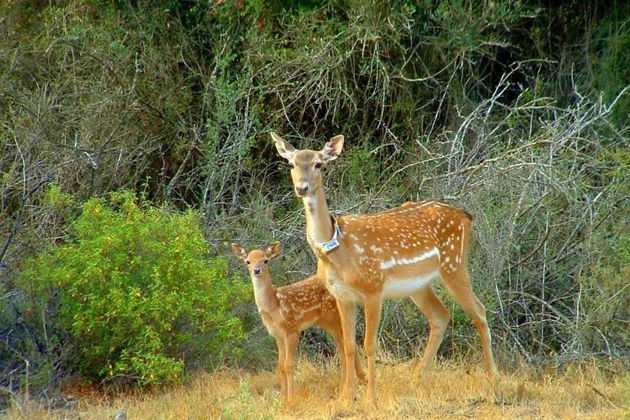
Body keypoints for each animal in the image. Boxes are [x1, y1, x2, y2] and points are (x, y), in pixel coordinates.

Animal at [232, 243, 366, 404]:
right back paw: (352, 386)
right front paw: (282, 399)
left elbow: (289, 364)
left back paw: (348, 390)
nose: (256, 271)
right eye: (248, 261)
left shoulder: (292, 329)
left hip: (333, 318)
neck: (274, 306)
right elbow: (280, 366)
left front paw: (291, 398)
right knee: (347, 346)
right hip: (329, 322)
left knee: (346, 347)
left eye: (265, 260)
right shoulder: (277, 334)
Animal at [272, 134, 498, 404]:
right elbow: (348, 345)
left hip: (454, 264)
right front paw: (345, 397)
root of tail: (465, 215)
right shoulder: (342, 296)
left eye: (319, 164)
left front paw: (371, 397)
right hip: (419, 285)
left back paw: (493, 375)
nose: (302, 188)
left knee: (479, 310)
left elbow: (369, 344)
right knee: (441, 315)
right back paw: (417, 376)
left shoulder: (373, 287)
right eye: (291, 163)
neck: (338, 250)